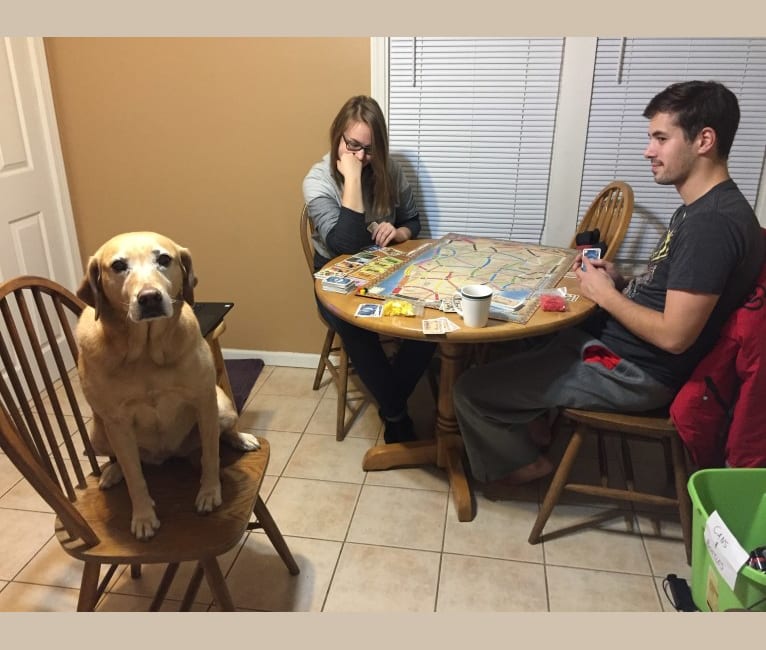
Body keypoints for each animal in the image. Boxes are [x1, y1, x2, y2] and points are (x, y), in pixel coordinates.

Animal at [76, 230, 260, 540]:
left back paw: (241, 439)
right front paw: (143, 517)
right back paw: (113, 473)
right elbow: (135, 478)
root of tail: (167, 456)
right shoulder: (117, 422)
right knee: (120, 460)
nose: (149, 298)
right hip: (98, 433)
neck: (146, 352)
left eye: (164, 259)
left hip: (222, 408)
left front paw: (209, 493)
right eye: (118, 266)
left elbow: (211, 456)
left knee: (221, 435)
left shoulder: (204, 401)